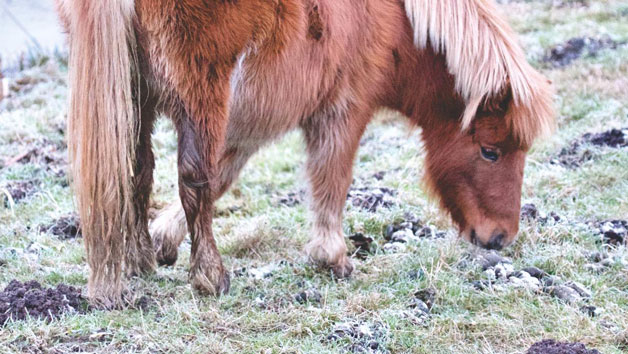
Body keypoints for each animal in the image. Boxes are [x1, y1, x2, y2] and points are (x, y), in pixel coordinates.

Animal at [55, 0, 556, 306]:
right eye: (490, 152)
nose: (499, 238)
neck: (398, 20)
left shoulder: (252, 120)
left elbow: (224, 175)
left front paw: (162, 241)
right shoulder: (342, 110)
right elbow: (330, 178)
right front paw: (332, 258)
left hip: (133, 98)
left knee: (136, 174)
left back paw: (139, 260)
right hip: (200, 96)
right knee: (190, 179)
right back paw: (210, 277)